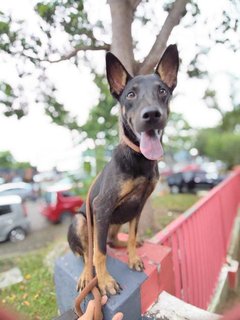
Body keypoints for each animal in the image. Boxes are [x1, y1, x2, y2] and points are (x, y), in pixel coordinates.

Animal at [67, 43, 178, 296]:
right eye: (131, 94)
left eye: (162, 91)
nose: (152, 115)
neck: (139, 158)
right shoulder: (101, 206)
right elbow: (98, 254)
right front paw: (105, 281)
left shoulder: (138, 205)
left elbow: (132, 234)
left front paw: (133, 256)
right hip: (82, 221)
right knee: (88, 252)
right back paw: (87, 275)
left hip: (115, 218)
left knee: (110, 240)